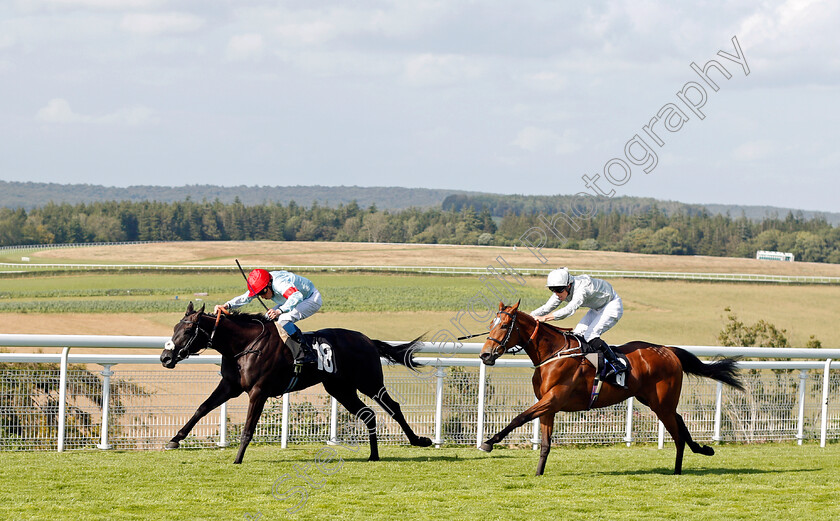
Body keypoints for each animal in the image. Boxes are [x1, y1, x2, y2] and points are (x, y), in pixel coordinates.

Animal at [159, 300, 434, 464]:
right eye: (174, 329)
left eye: (187, 331)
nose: (165, 357)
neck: (246, 345)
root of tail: (368, 340)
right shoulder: (230, 386)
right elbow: (202, 408)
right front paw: (175, 439)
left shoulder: (258, 391)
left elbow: (248, 428)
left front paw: (237, 458)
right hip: (340, 388)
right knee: (368, 414)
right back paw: (373, 455)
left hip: (369, 382)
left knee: (393, 407)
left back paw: (419, 440)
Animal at [476, 300, 744, 476]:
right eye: (491, 323)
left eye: (504, 326)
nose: (485, 355)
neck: (552, 353)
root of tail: (668, 350)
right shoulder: (548, 405)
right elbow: (545, 443)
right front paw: (538, 474)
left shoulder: (553, 399)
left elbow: (519, 418)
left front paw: (489, 442)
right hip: (654, 400)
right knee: (680, 422)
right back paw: (702, 449)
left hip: (662, 404)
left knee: (677, 433)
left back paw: (678, 470)